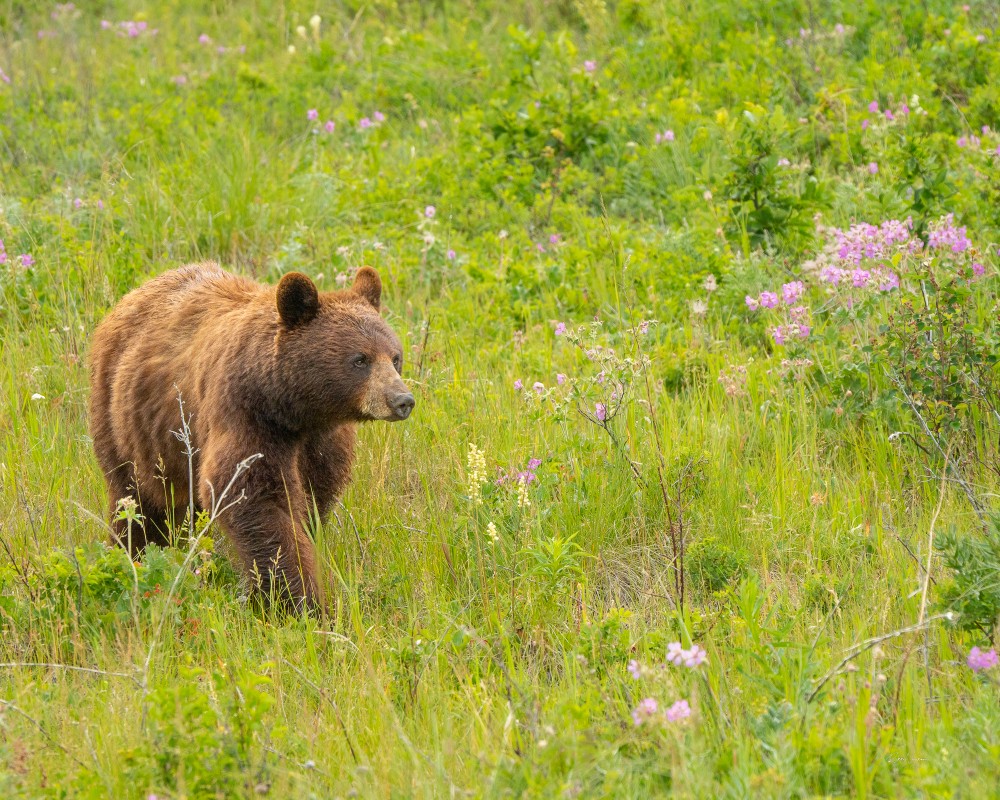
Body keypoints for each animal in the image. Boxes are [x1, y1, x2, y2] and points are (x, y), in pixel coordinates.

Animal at [87, 263, 414, 611]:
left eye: (394, 357)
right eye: (360, 359)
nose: (402, 399)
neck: (295, 409)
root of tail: (133, 295)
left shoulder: (321, 441)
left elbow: (314, 496)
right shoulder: (245, 414)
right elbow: (255, 497)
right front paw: (297, 599)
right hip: (126, 423)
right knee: (136, 501)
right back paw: (133, 555)